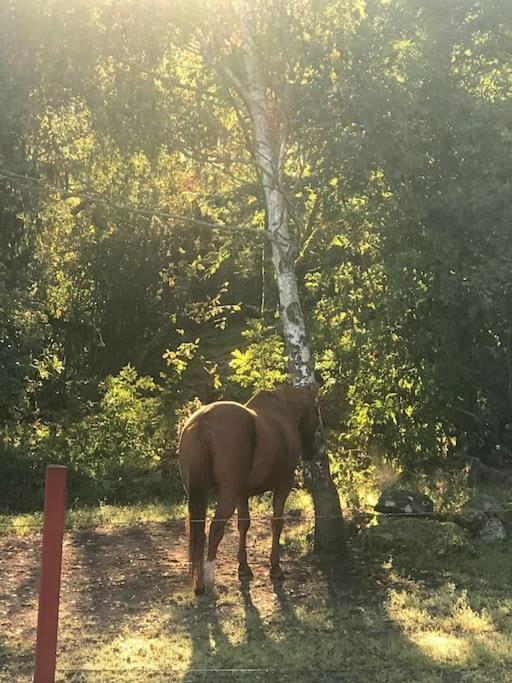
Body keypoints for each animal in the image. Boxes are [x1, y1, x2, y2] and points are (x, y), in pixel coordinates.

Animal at [178, 388, 318, 596]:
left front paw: (243, 568)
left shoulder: (242, 495)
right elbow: (277, 523)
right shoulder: (283, 485)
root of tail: (203, 421)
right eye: (316, 413)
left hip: (200, 495)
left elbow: (243, 525)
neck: (285, 412)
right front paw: (275, 569)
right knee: (215, 530)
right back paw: (209, 581)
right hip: (227, 496)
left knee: (199, 532)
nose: (313, 452)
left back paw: (199, 584)